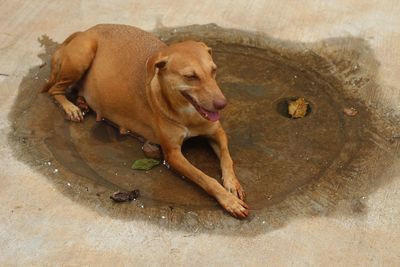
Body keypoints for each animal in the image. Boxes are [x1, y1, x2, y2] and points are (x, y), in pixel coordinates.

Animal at [42, 24, 248, 219]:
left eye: (213, 70)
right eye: (190, 76)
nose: (222, 104)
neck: (186, 112)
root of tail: (83, 31)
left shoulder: (216, 132)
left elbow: (227, 158)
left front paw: (232, 184)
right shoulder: (173, 155)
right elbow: (205, 178)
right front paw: (228, 200)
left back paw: (82, 102)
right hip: (81, 56)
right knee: (53, 90)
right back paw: (71, 107)